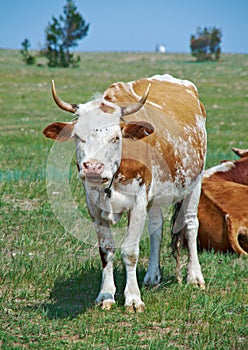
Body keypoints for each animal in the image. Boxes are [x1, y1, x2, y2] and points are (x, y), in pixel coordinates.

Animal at [43, 74, 206, 312]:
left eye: (116, 137)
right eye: (78, 136)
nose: (93, 167)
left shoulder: (137, 204)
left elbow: (130, 252)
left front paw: (133, 298)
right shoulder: (94, 206)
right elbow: (106, 250)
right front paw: (106, 294)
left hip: (195, 183)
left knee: (191, 225)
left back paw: (194, 276)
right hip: (156, 197)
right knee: (156, 229)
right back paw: (152, 276)